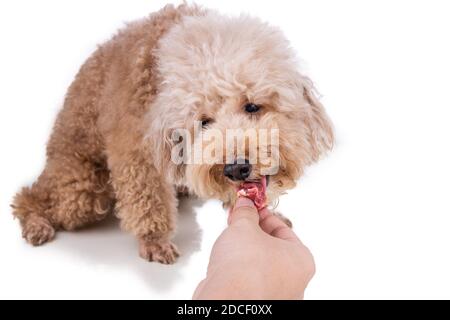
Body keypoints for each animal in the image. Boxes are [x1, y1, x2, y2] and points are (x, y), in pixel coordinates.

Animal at [11, 5, 334, 264]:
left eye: (253, 106)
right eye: (203, 122)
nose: (235, 168)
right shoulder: (137, 153)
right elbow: (147, 199)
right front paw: (154, 240)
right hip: (83, 188)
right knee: (31, 196)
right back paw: (36, 224)